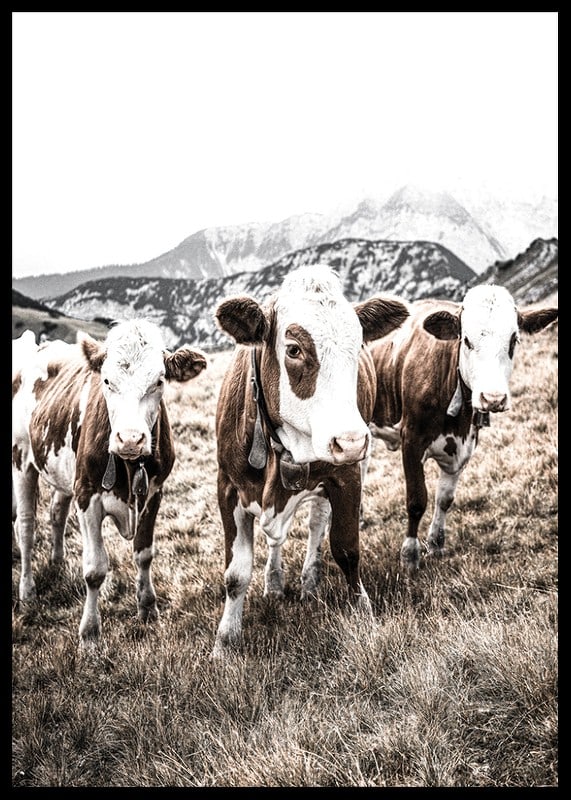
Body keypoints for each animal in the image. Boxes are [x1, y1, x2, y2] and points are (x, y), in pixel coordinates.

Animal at [12, 320, 207, 646]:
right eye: (106, 381)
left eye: (159, 382)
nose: (130, 439)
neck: (129, 466)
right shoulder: (87, 496)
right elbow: (95, 570)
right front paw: (90, 633)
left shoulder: (153, 495)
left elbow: (144, 554)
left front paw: (148, 608)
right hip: (22, 460)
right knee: (26, 528)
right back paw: (27, 591)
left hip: (64, 474)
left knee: (56, 513)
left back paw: (57, 562)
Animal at [211, 264, 410, 657]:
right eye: (293, 349)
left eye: (358, 345)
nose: (350, 441)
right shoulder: (227, 487)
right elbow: (235, 573)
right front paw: (225, 641)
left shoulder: (347, 475)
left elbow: (346, 549)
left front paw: (363, 613)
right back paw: (275, 582)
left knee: (318, 523)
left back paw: (309, 579)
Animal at [368, 284, 558, 574]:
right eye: (466, 340)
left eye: (513, 340)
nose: (493, 398)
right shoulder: (411, 439)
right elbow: (416, 500)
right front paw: (410, 555)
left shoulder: (464, 445)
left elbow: (444, 499)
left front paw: (436, 545)